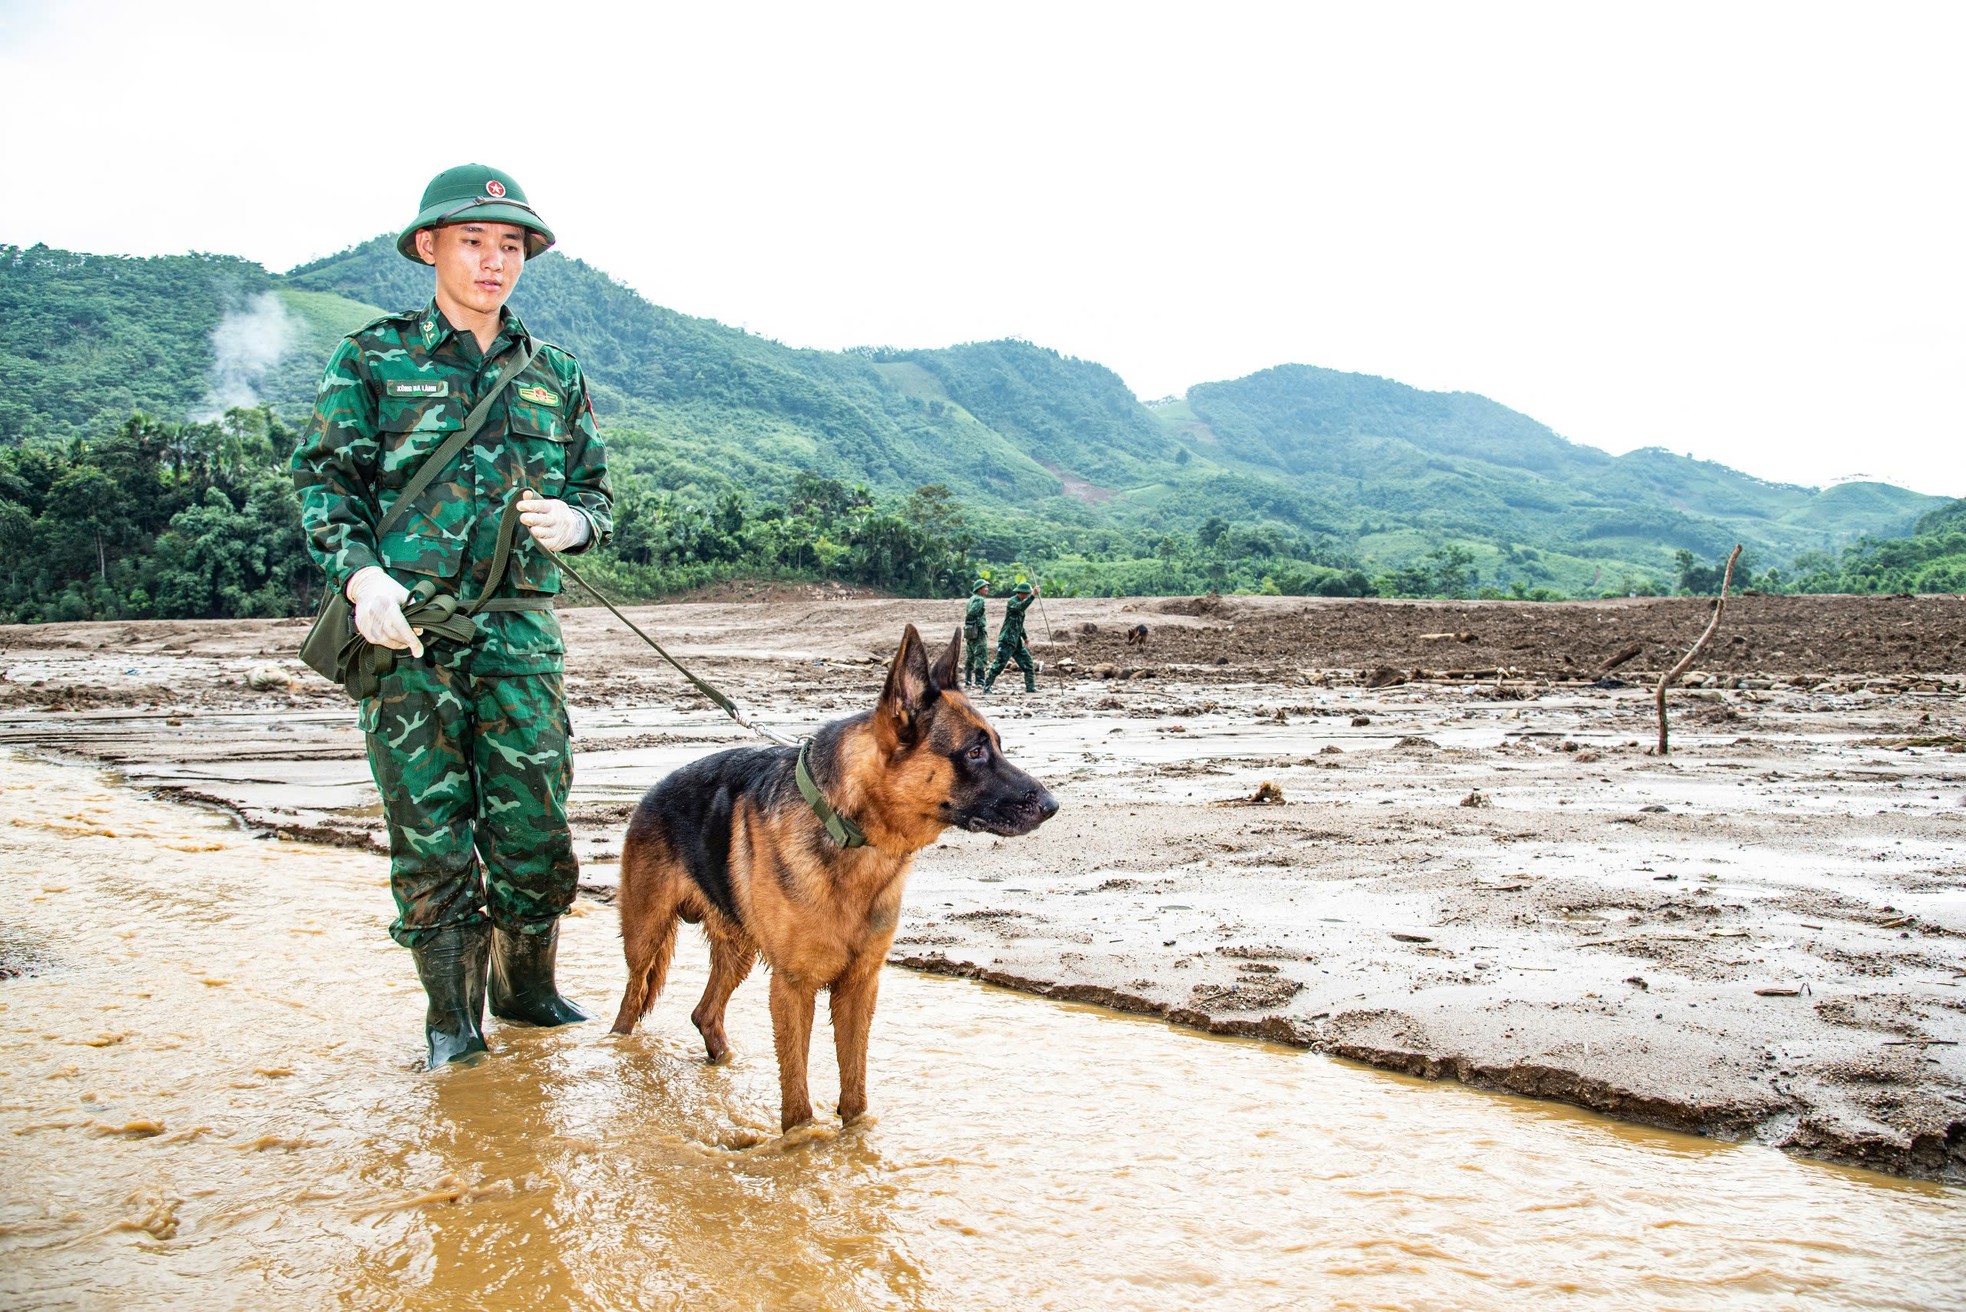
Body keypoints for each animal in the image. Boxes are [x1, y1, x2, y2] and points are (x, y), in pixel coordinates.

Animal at [609, 625, 1061, 1133]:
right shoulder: (793, 988)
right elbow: (797, 1100)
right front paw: (801, 1143)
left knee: (705, 1013)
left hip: (737, 950)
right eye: (975, 752)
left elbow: (855, 1088)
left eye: (998, 745)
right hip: (645, 938)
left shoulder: (859, 986)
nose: (1052, 805)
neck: (850, 829)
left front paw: (854, 1135)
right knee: (631, 1002)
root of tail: (651, 792)